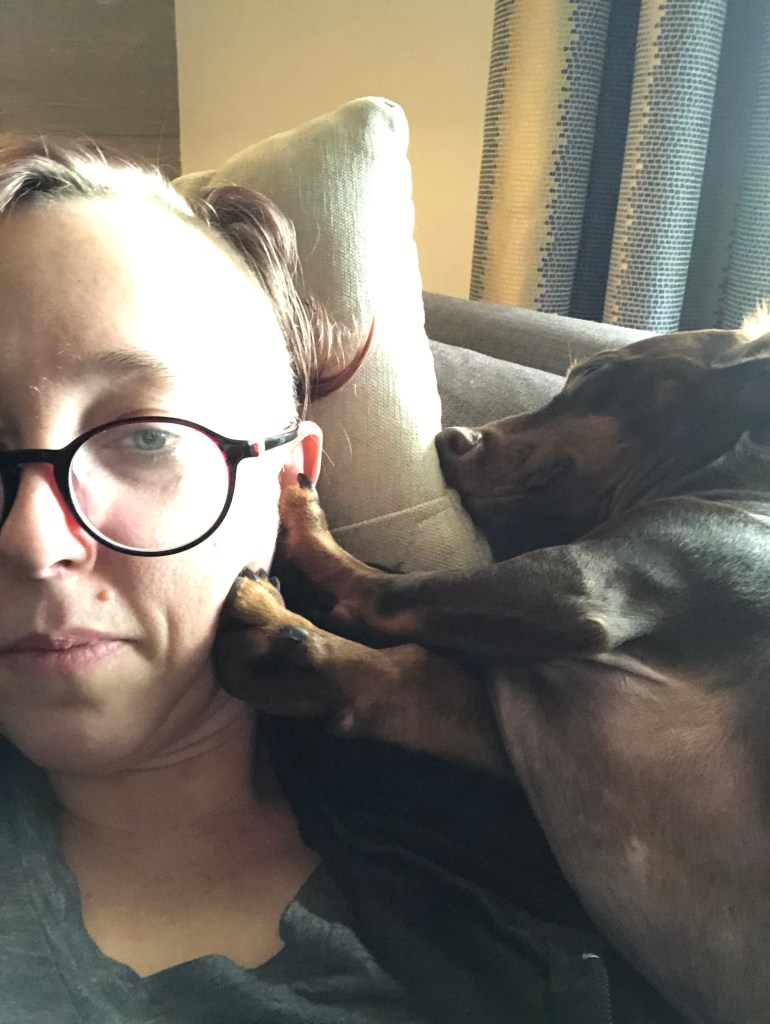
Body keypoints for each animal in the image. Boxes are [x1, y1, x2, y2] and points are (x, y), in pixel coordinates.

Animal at [213, 311, 770, 1024]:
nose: (449, 438)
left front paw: (301, 528)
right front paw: (288, 662)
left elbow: (384, 591)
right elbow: (410, 677)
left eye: (599, 380)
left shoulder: (578, 587)